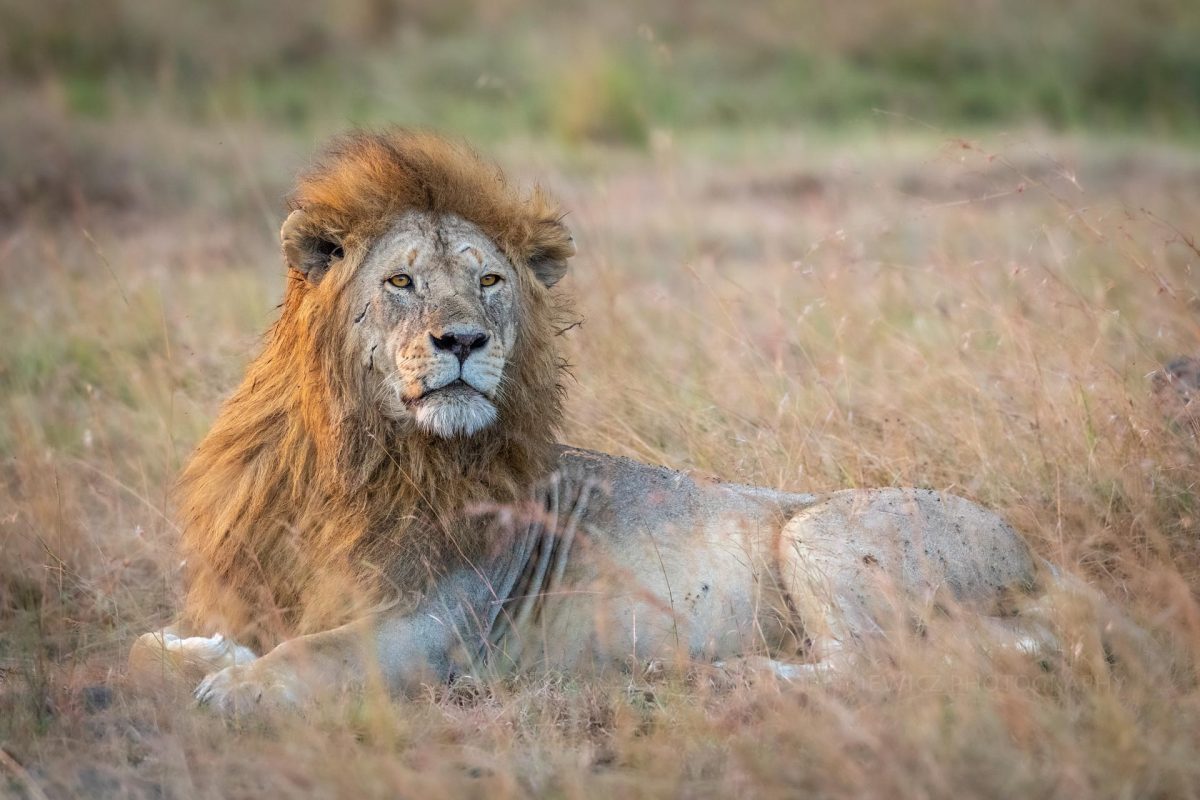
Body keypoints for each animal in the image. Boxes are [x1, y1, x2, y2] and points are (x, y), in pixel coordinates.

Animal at [131, 131, 1065, 714]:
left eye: (490, 282)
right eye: (400, 282)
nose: (462, 340)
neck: (362, 459)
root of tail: (1038, 558)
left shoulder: (428, 627)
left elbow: (316, 654)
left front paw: (241, 690)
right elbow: (193, 639)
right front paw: (185, 655)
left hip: (824, 536)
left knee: (886, 663)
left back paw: (733, 678)